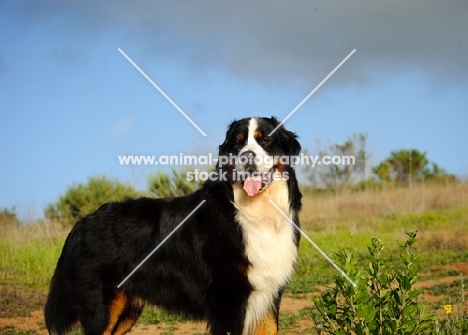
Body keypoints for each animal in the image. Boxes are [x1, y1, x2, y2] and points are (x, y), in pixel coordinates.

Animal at [45, 117, 302, 334]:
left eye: (265, 140)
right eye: (237, 144)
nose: (247, 157)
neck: (256, 212)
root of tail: (82, 222)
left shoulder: (269, 295)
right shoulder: (228, 298)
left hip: (125, 308)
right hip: (102, 306)